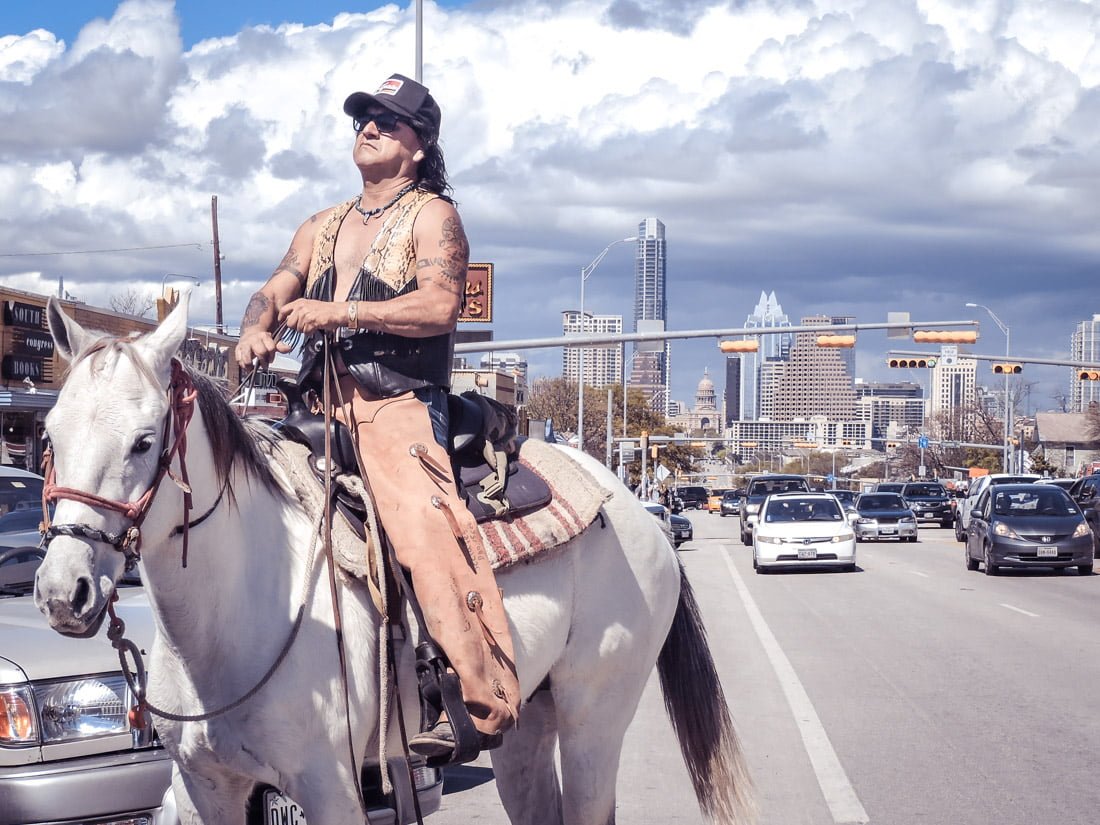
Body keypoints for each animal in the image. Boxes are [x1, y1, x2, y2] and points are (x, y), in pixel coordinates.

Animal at [36, 297, 756, 825]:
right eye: (48, 434)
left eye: (143, 441)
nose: (61, 592)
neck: (230, 621)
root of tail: (638, 508)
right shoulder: (205, 788)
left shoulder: (330, 786)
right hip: (528, 718)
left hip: (595, 715)